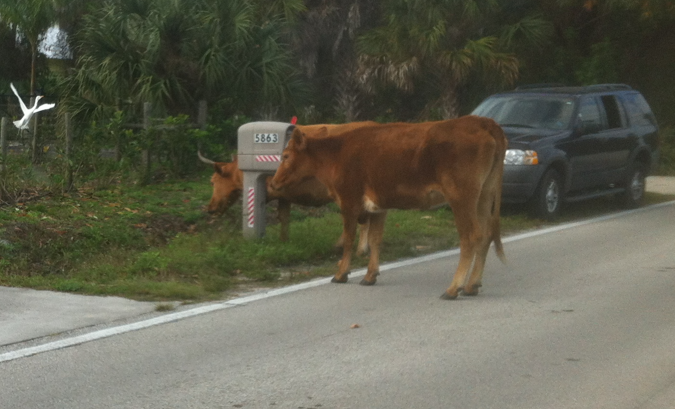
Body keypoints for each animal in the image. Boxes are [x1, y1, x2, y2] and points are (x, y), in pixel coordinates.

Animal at [199, 122, 376, 250]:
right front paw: (284, 242)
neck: (239, 171)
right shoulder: (283, 195)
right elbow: (283, 218)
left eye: (213, 181)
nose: (210, 208)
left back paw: (357, 248)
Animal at [270, 116, 507, 299]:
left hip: (461, 196)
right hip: (484, 194)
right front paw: (370, 276)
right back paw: (472, 285)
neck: (336, 154)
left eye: (286, 156)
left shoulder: (349, 201)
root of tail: (482, 121)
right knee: (486, 234)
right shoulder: (378, 206)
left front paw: (341, 274)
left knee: (471, 237)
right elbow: (375, 239)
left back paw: (453, 288)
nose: (273, 183)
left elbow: (349, 239)